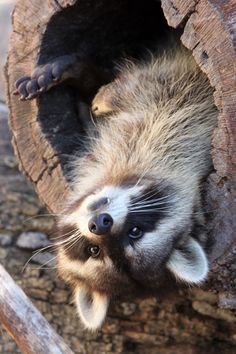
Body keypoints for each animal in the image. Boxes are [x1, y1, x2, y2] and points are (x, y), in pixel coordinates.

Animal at [14, 45, 218, 330]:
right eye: (93, 250)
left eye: (134, 232)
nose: (100, 223)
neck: (119, 169)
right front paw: (80, 77)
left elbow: (159, 79)